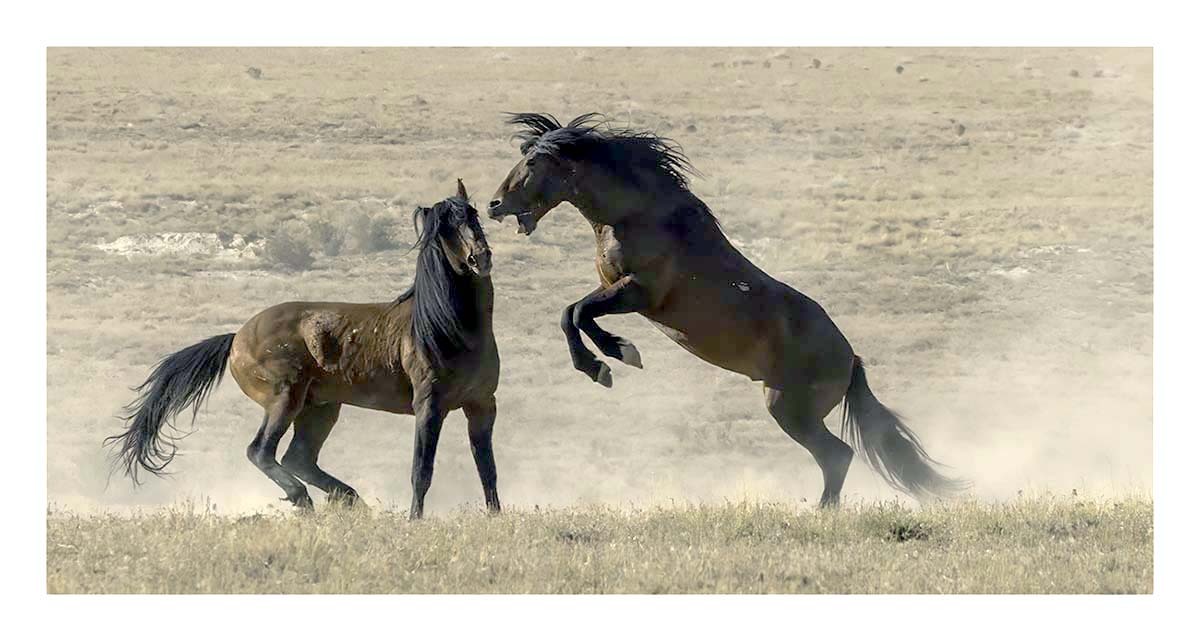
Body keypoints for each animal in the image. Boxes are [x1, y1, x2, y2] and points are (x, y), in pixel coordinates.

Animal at [106, 180, 501, 519]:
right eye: (444, 230)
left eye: (473, 215)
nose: (480, 258)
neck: (445, 327)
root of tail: (237, 337)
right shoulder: (428, 406)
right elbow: (422, 469)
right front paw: (413, 521)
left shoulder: (481, 406)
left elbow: (487, 469)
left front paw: (496, 517)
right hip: (285, 399)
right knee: (262, 452)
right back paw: (306, 500)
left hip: (320, 409)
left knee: (298, 459)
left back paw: (351, 501)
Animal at [487, 113, 965, 507]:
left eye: (535, 163)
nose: (493, 205)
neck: (635, 216)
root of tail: (850, 360)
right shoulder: (615, 290)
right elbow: (572, 314)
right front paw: (607, 360)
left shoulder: (639, 294)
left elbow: (577, 313)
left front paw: (613, 359)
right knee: (836, 457)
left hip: (788, 410)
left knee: (838, 455)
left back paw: (821, 512)